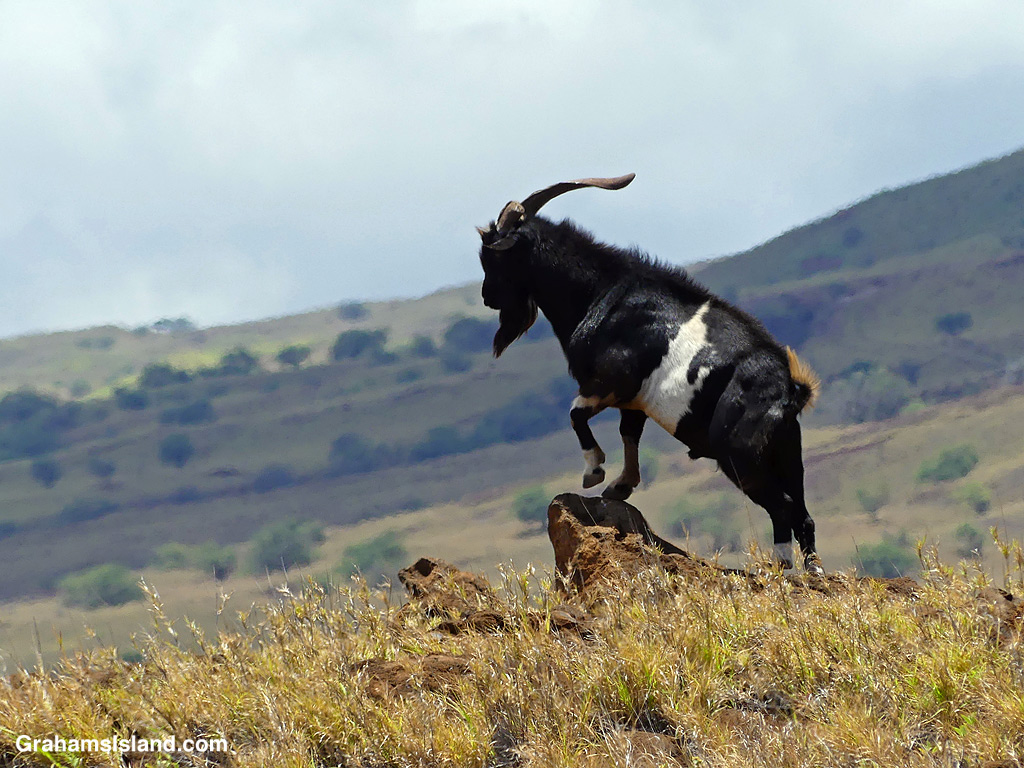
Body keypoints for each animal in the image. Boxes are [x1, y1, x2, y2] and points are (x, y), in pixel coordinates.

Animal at [476, 174, 823, 572]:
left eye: (494, 256)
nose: (487, 296)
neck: (601, 293)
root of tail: (789, 391)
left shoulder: (611, 382)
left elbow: (576, 414)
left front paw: (594, 472)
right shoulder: (633, 400)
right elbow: (629, 434)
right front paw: (620, 486)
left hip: (740, 455)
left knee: (783, 509)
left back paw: (782, 569)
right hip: (786, 451)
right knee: (802, 514)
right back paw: (811, 571)